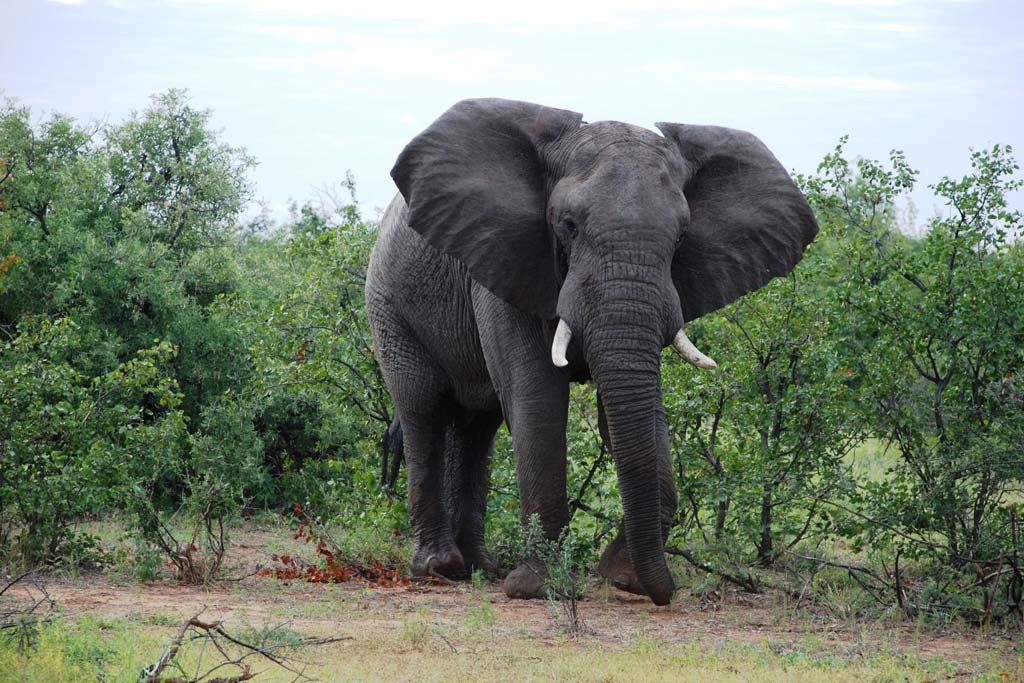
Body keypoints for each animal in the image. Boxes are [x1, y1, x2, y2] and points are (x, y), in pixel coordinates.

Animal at [364, 98, 818, 605]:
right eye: (568, 226)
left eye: (682, 237)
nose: (664, 592)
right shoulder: (508, 257)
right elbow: (536, 395)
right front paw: (538, 588)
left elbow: (632, 405)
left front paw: (622, 578)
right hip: (387, 301)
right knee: (423, 404)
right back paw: (441, 569)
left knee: (479, 425)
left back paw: (480, 567)